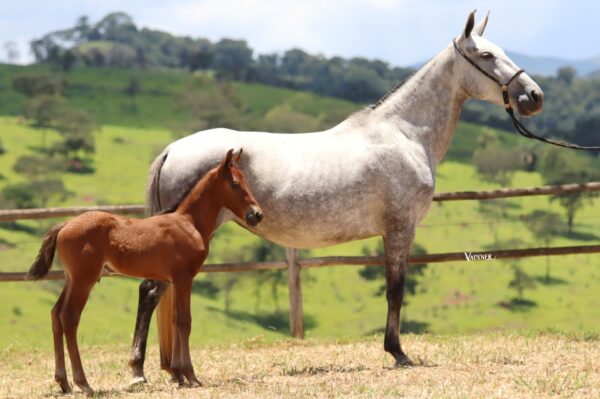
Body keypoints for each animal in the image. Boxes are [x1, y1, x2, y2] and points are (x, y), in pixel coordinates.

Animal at [25, 151, 262, 396]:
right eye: (235, 184)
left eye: (246, 181)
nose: (256, 214)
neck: (189, 223)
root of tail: (64, 225)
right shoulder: (184, 278)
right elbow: (185, 321)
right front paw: (191, 376)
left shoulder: (173, 280)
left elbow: (176, 320)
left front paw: (179, 374)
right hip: (84, 280)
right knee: (69, 318)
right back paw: (83, 383)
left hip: (71, 279)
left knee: (56, 313)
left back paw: (63, 382)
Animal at [126, 10, 544, 382]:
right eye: (486, 55)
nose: (534, 95)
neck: (404, 133)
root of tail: (173, 150)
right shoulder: (400, 229)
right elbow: (395, 290)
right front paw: (398, 353)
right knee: (149, 291)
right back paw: (140, 371)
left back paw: (170, 371)